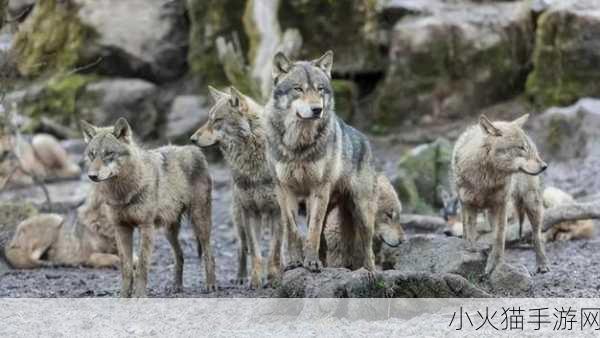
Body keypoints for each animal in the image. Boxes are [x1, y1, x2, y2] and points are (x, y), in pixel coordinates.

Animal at [81, 117, 214, 298]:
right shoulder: (121, 228)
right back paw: (177, 287)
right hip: (168, 231)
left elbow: (142, 266)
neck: (124, 192)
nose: (92, 176)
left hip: (200, 223)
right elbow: (126, 268)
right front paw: (124, 296)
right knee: (180, 255)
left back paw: (211, 285)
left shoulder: (146, 227)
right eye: (92, 154)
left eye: (109, 153)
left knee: (209, 254)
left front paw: (139, 296)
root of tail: (194, 149)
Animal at [190, 86, 282, 290]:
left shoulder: (277, 212)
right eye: (209, 118)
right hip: (239, 218)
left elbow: (274, 251)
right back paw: (240, 277)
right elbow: (255, 252)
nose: (192, 139)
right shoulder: (250, 211)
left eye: (217, 120)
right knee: (242, 247)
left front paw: (273, 278)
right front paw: (255, 280)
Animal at [264, 50, 378, 272]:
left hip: (362, 212)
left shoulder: (318, 189)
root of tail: (366, 140)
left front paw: (311, 262)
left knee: (368, 249)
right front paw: (295, 262)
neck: (299, 146)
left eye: (320, 89)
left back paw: (370, 272)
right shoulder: (284, 189)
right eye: (298, 89)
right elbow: (293, 230)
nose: (317, 109)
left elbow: (313, 231)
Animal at [450, 114, 548, 274]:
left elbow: (498, 237)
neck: (486, 179)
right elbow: (469, 233)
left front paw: (495, 263)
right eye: (521, 148)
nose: (545, 166)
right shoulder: (466, 204)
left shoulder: (501, 205)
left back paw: (542, 263)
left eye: (528, 148)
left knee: (536, 235)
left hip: (531, 203)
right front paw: (470, 251)